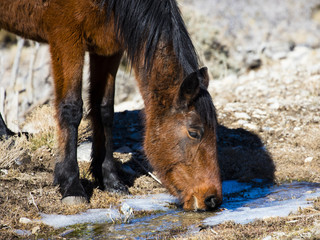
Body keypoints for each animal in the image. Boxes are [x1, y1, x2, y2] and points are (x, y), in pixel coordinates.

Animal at [0, 0, 221, 210]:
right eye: (194, 132)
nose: (212, 199)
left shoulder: (108, 49)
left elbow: (104, 110)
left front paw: (110, 180)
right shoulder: (66, 37)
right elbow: (71, 107)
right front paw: (71, 185)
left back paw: (7, 137)